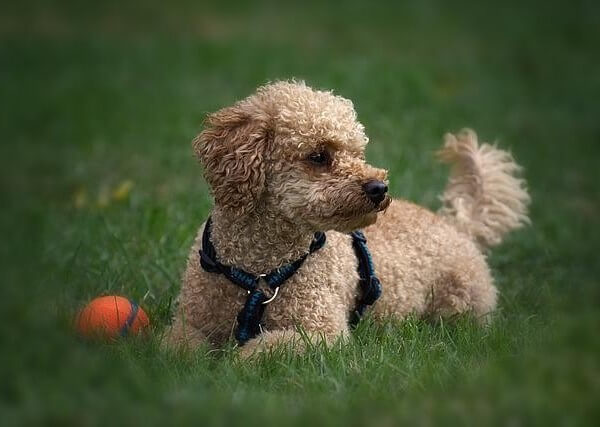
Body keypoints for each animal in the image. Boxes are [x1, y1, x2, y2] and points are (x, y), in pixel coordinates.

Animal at [165, 81, 528, 358]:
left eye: (357, 153)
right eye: (319, 156)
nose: (379, 188)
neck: (261, 271)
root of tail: (458, 226)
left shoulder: (321, 331)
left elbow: (264, 348)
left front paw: (235, 362)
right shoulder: (192, 319)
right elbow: (177, 346)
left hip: (462, 303)